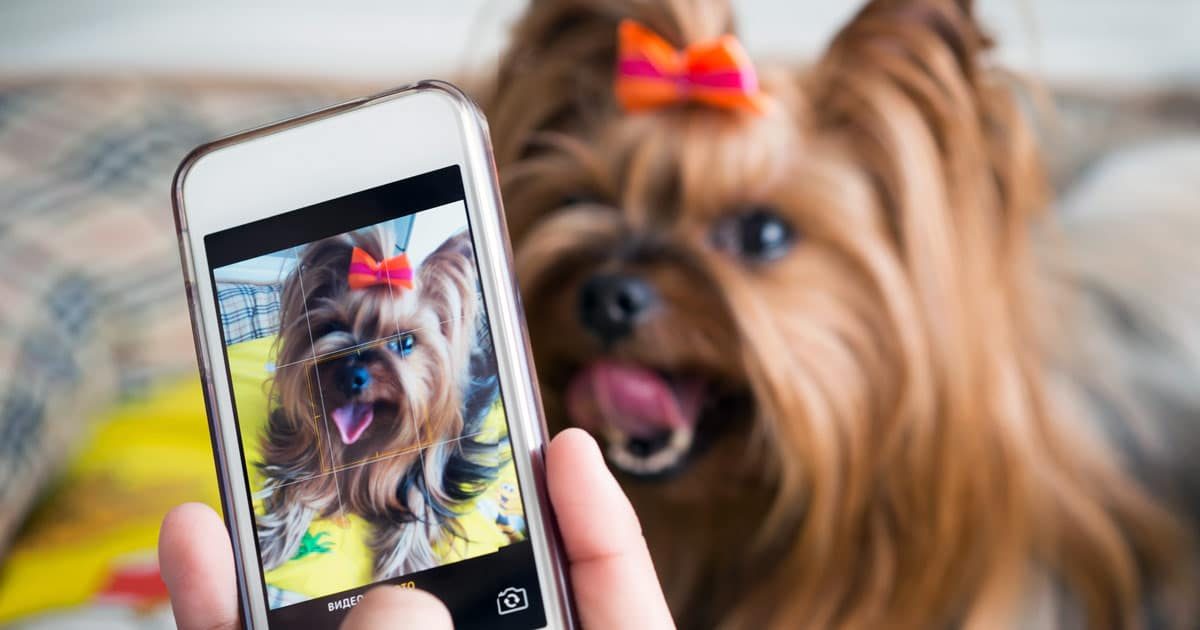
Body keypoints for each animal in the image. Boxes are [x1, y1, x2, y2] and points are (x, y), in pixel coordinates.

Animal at [255, 226, 499, 580]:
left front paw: (406, 562)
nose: (352, 375)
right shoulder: (306, 451)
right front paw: (274, 539)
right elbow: (304, 484)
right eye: (332, 327)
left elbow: (418, 505)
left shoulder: (427, 472)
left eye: (405, 342)